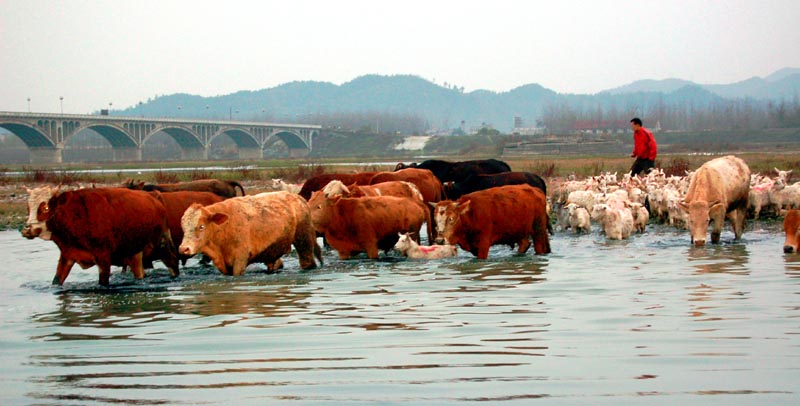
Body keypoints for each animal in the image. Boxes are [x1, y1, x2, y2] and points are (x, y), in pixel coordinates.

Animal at [179, 191, 322, 276]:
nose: (184, 249)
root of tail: (298, 197)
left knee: (307, 260)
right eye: (183, 228)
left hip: (304, 242)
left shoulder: (240, 260)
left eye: (201, 226)